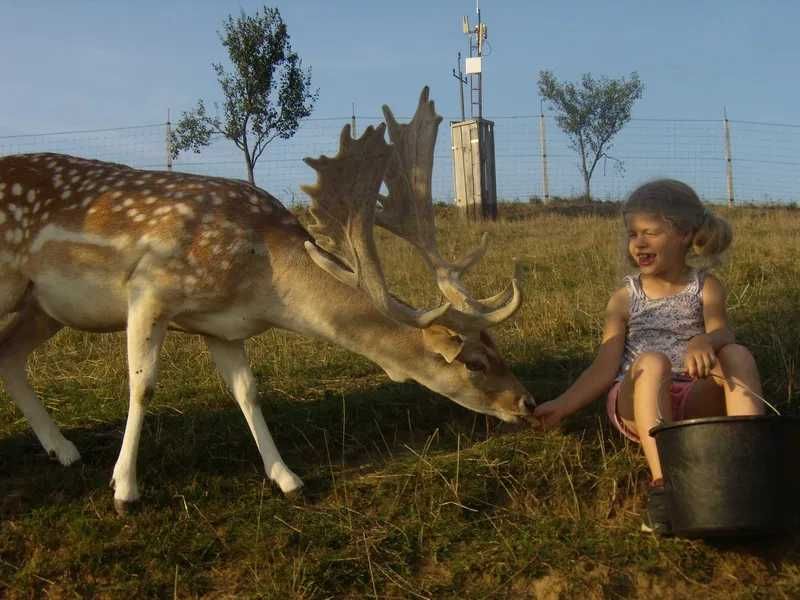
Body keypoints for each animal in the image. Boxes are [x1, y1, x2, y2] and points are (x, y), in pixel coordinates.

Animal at [1, 86, 536, 512]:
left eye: (497, 348)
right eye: (473, 362)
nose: (527, 402)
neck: (262, 280)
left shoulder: (222, 326)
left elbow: (247, 391)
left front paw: (287, 478)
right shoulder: (150, 288)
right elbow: (143, 387)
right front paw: (125, 490)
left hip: (44, 307)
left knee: (10, 357)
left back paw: (63, 449)